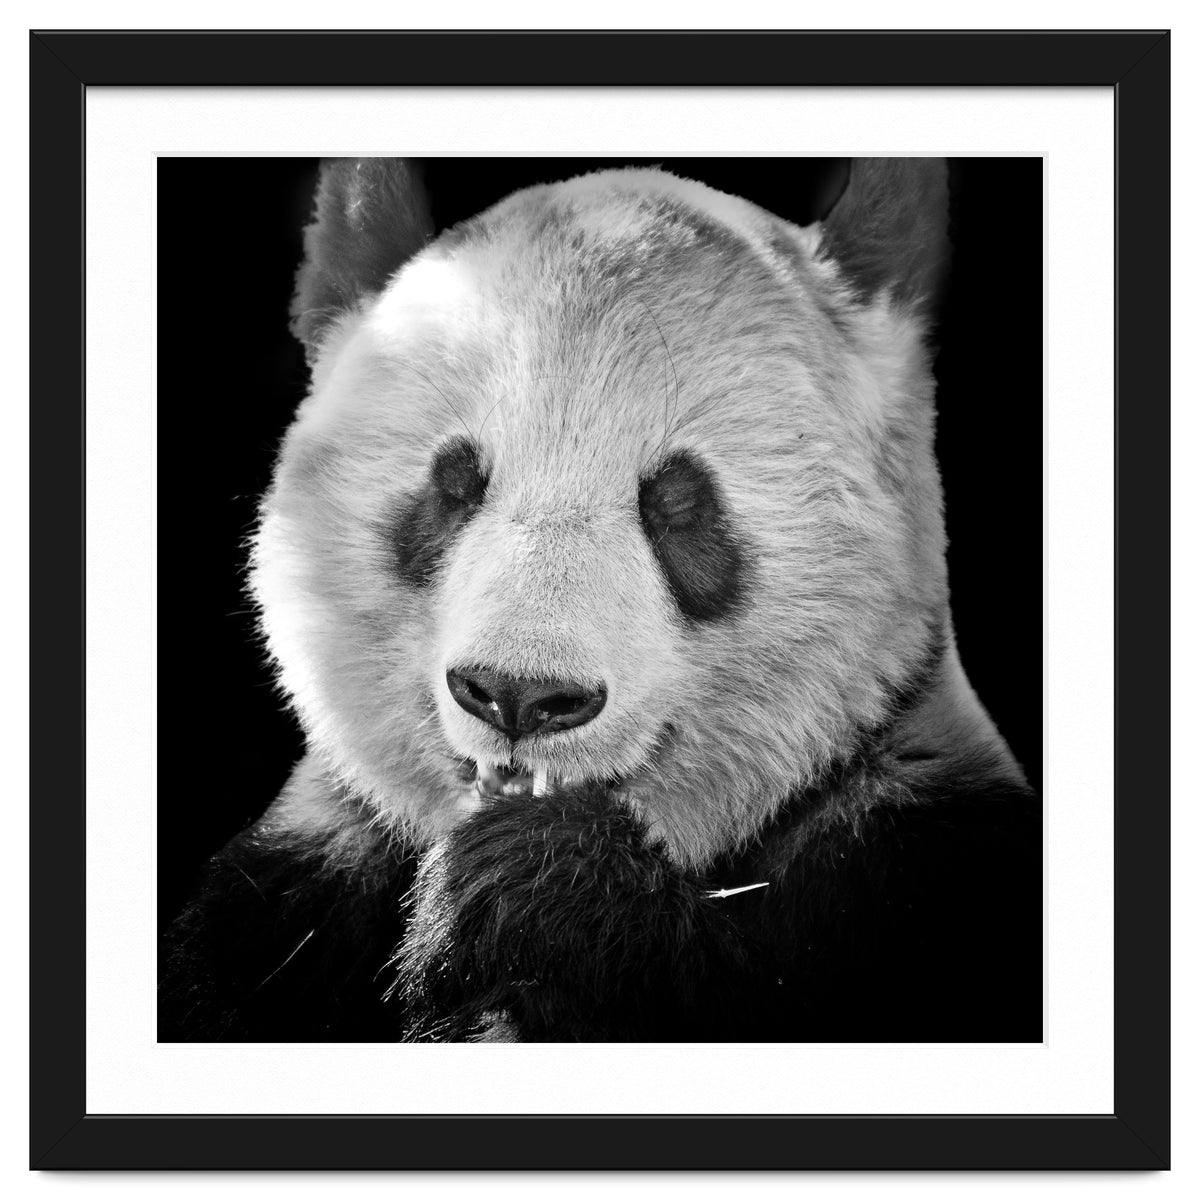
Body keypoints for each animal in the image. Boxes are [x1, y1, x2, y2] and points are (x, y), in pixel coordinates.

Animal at [160, 158, 1041, 1043]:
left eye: (678, 503)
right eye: (454, 484)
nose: (519, 695)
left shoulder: (914, 861)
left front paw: (536, 888)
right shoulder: (288, 896)